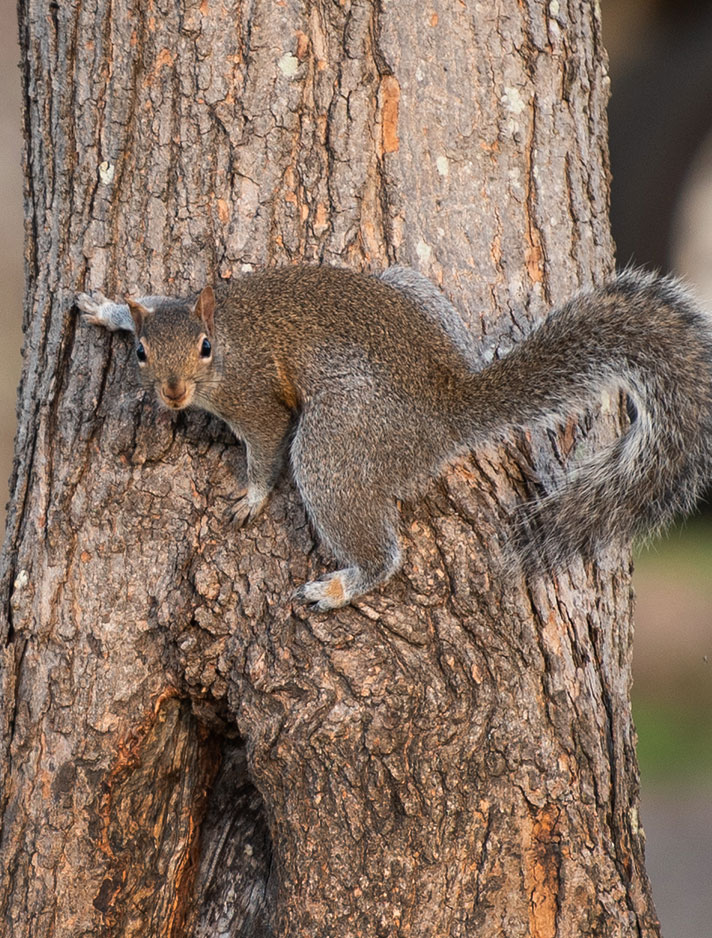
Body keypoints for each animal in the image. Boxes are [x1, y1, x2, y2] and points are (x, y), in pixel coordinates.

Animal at [76, 265, 712, 610]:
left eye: (205, 348)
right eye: (141, 353)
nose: (173, 393)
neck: (227, 334)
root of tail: (448, 407)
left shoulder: (256, 401)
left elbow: (265, 446)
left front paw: (251, 498)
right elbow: (144, 303)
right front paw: (106, 308)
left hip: (338, 441)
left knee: (383, 553)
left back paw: (337, 588)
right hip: (407, 284)